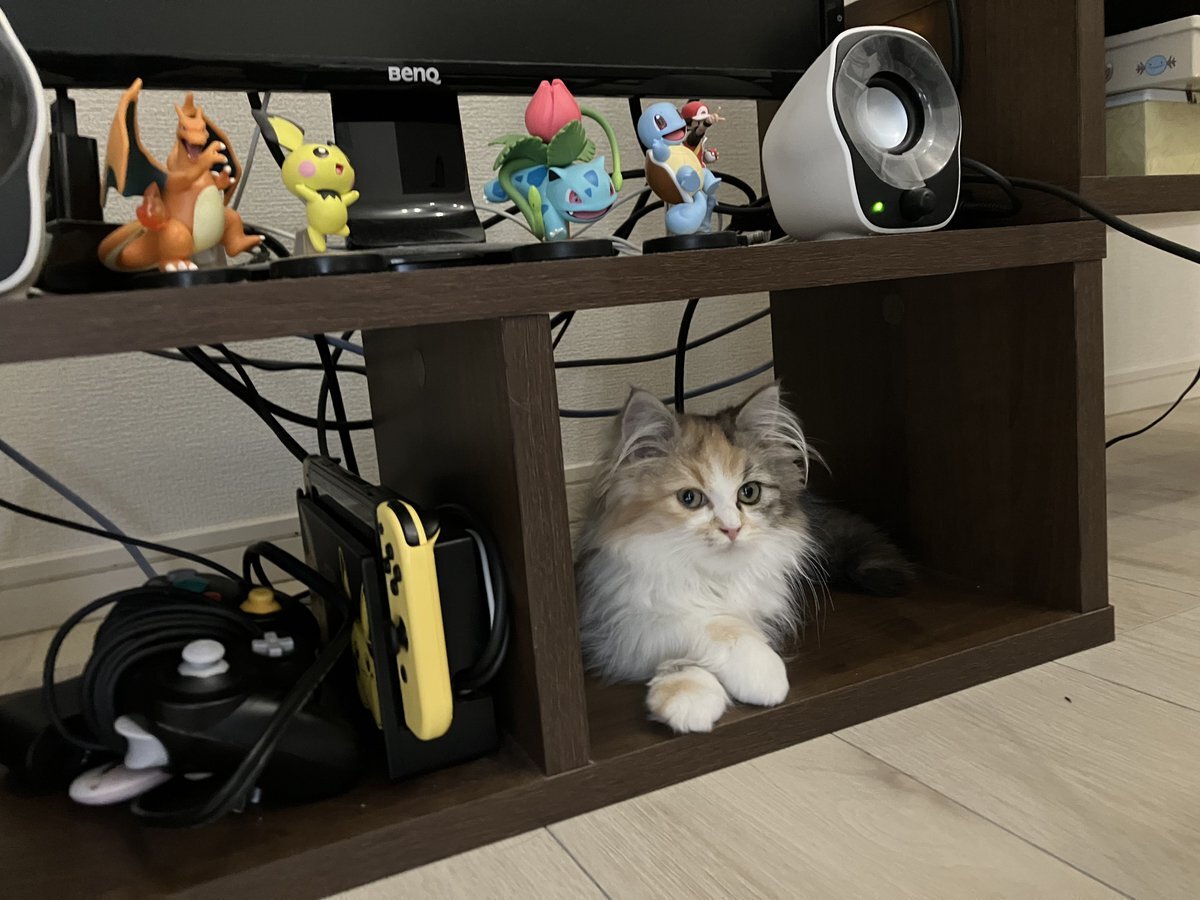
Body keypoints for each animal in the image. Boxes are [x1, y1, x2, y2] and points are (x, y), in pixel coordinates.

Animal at [575, 383, 911, 734]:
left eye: (749, 493)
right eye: (689, 498)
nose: (732, 528)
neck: (714, 576)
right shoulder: (613, 623)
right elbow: (712, 624)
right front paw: (749, 674)